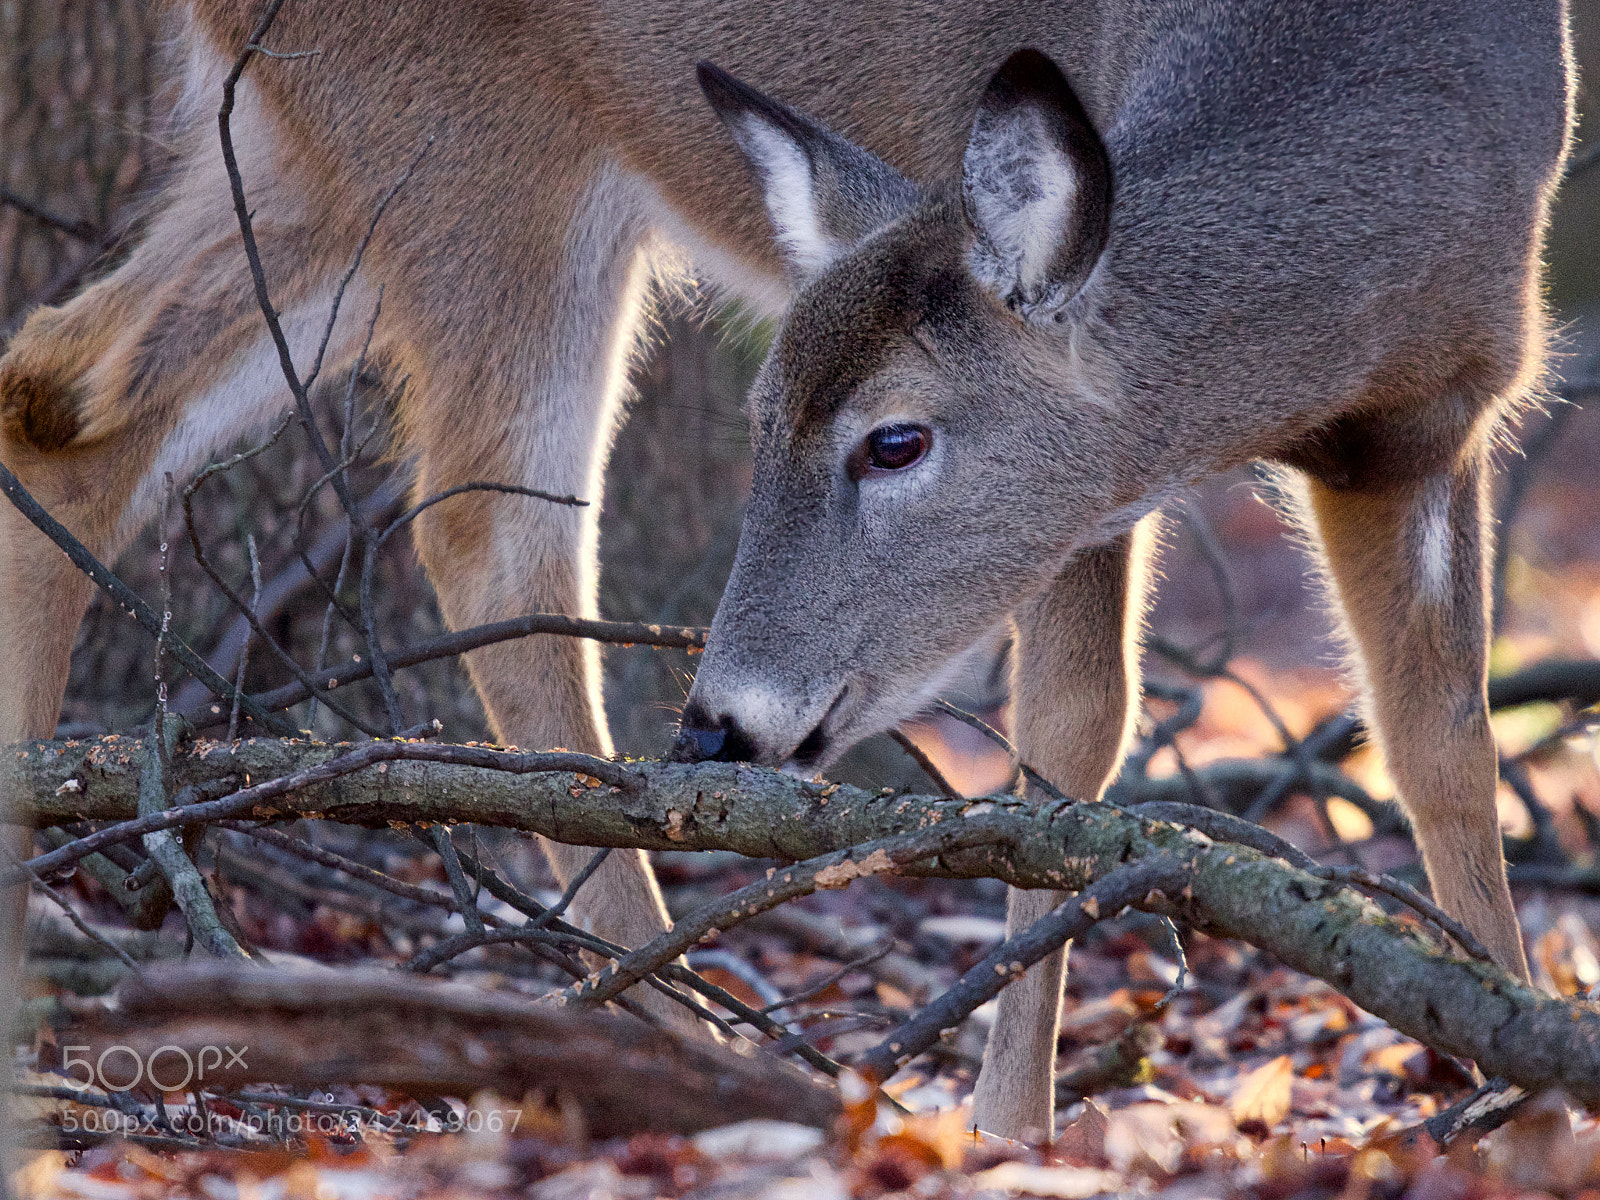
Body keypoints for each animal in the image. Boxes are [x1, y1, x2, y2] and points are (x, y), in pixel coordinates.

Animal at [0, 0, 1573, 1142]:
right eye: (762, 417)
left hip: (300, 151)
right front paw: (1011, 1134)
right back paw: (679, 1049)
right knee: (487, 535)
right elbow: (1072, 748)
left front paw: (1525, 1075)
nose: (719, 723)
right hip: (469, 154)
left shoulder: (1436, 431)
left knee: (62, 397)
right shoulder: (1097, 494)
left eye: (895, 438)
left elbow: (1445, 756)